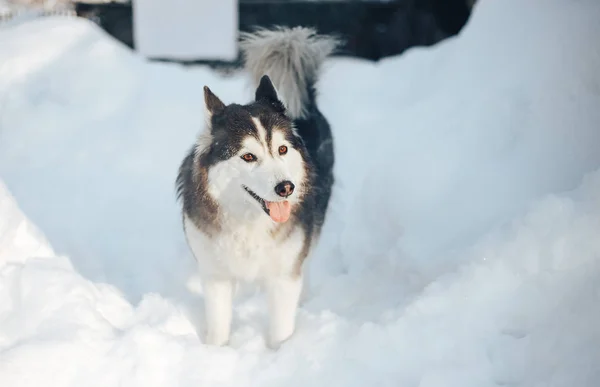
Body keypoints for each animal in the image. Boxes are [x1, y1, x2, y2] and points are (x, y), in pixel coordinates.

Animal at [177, 27, 338, 348]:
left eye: (282, 149)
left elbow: (280, 329)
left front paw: (280, 353)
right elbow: (219, 327)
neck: (248, 221)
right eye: (248, 156)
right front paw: (215, 352)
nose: (286, 188)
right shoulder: (215, 274)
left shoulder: (283, 275)